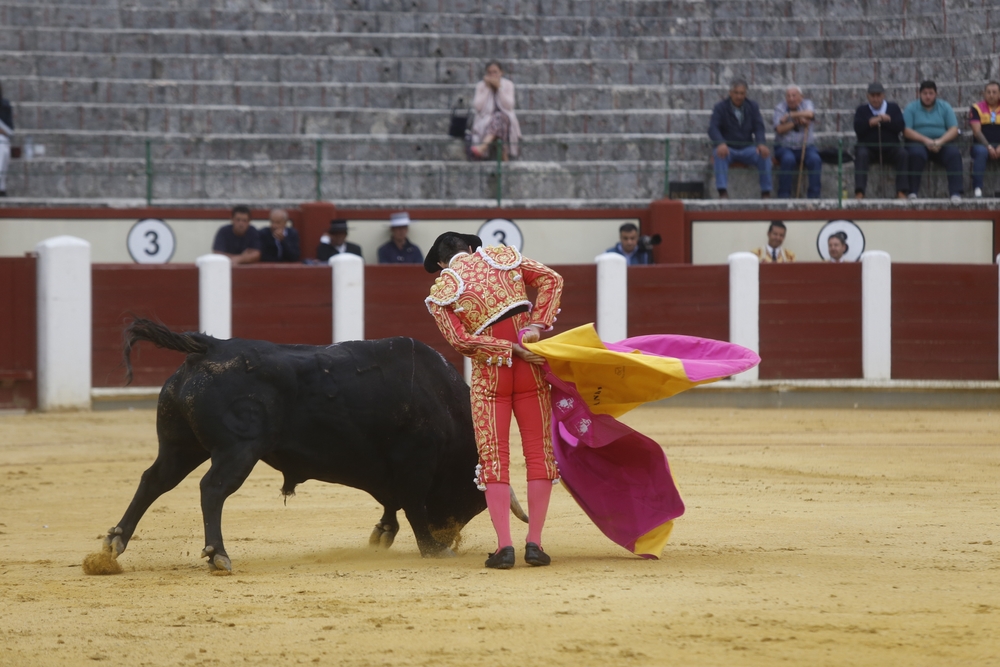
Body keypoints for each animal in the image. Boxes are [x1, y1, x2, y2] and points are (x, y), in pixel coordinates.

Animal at [98, 320, 528, 576]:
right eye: (473, 501)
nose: (447, 536)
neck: (442, 401)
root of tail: (210, 347)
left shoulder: (391, 471)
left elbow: (393, 503)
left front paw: (383, 534)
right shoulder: (414, 465)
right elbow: (413, 506)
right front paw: (432, 548)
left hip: (181, 445)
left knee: (153, 480)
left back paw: (113, 545)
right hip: (238, 449)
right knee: (213, 489)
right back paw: (218, 554)